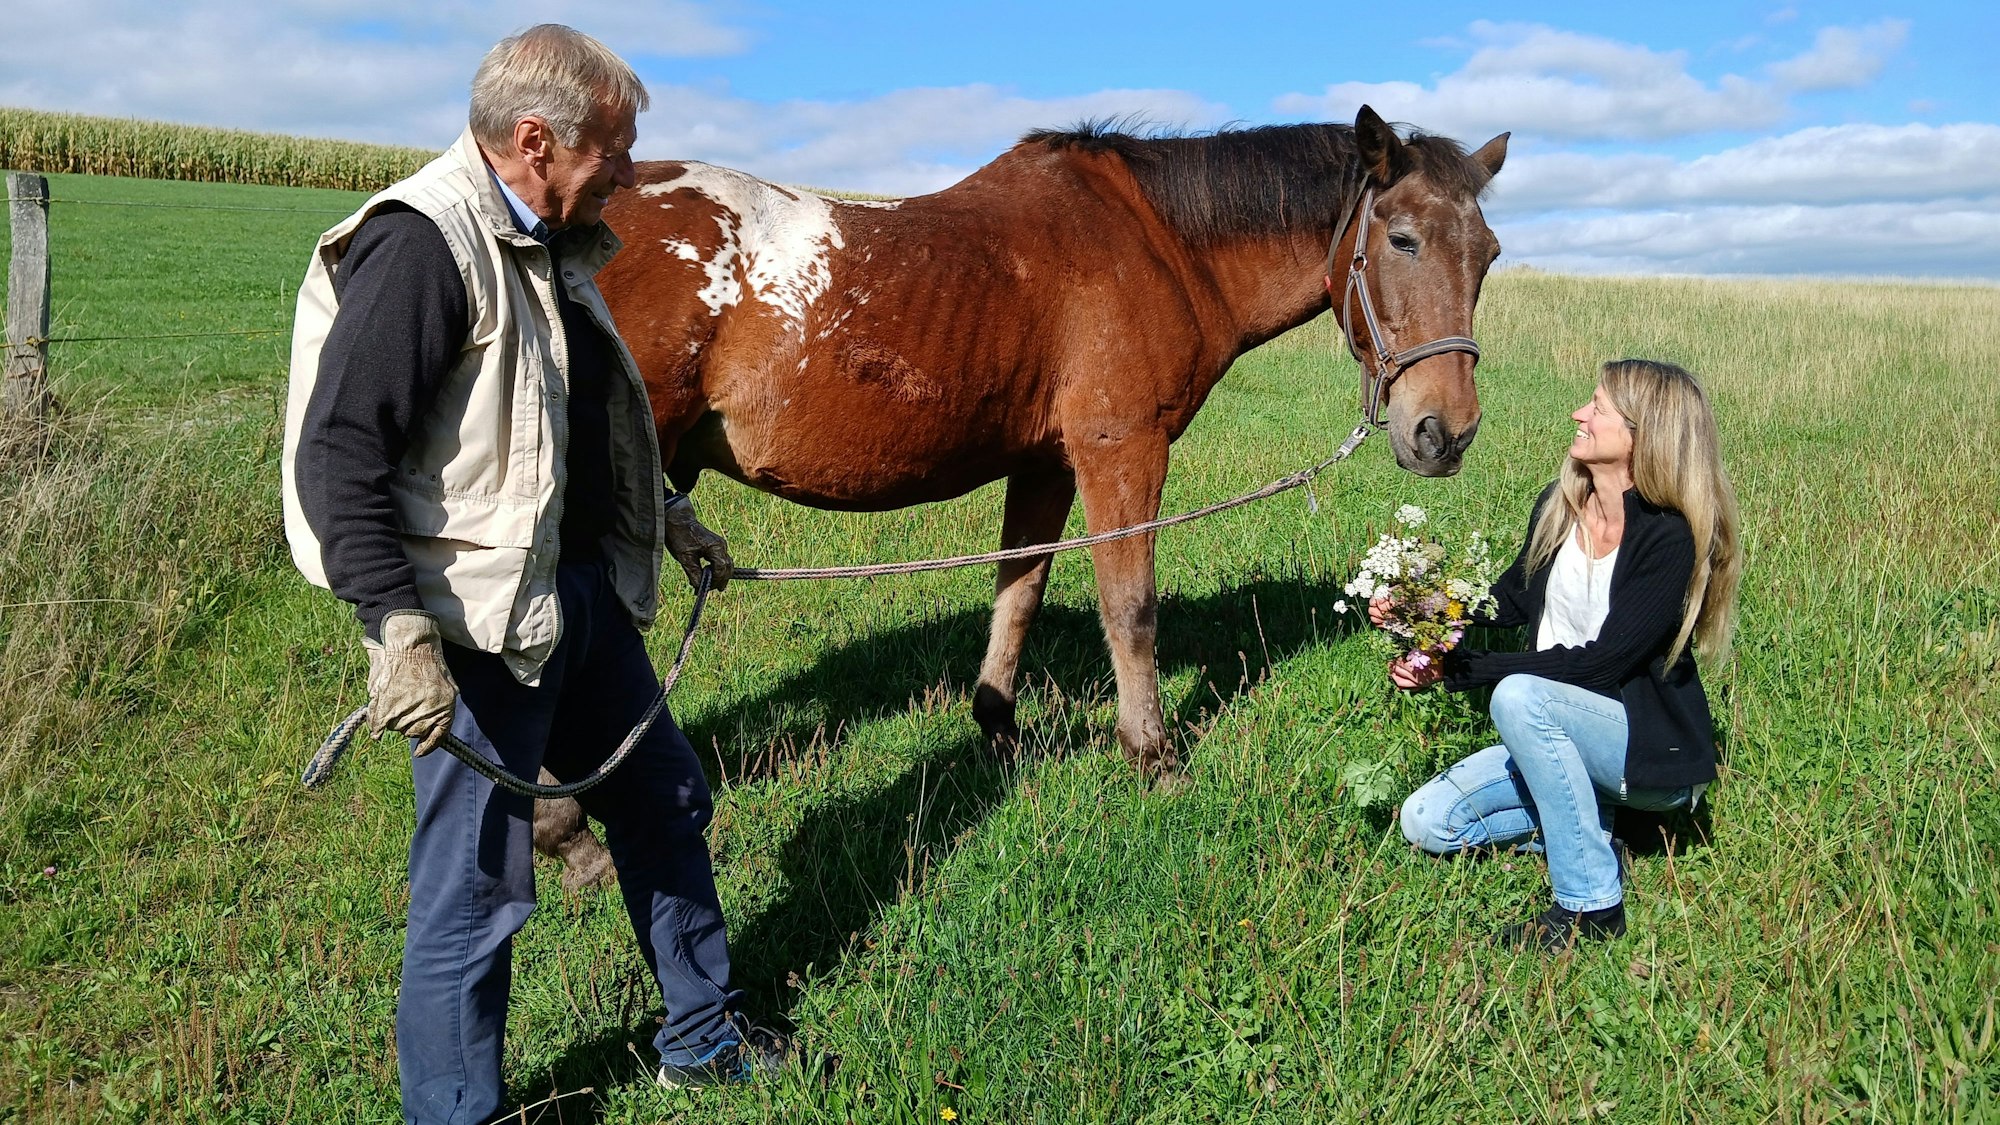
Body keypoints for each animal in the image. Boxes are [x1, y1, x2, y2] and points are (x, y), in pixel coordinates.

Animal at [594, 105, 1506, 778]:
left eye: (1489, 254)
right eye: (1402, 239)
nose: (1446, 432)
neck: (1156, 241)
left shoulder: (1045, 466)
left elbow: (1019, 592)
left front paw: (997, 726)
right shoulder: (1121, 451)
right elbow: (1129, 606)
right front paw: (1150, 750)